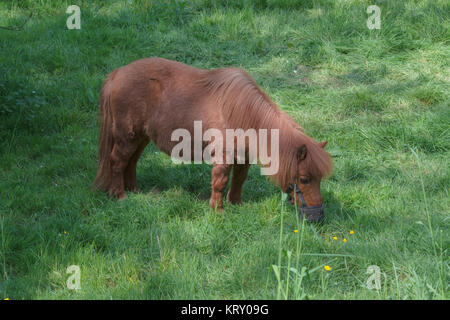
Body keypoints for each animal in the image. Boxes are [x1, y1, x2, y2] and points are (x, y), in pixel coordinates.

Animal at [93, 57, 332, 221]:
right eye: (304, 179)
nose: (318, 215)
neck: (242, 113)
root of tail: (117, 74)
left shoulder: (243, 156)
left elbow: (239, 179)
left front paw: (235, 204)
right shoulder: (223, 156)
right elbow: (220, 182)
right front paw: (218, 211)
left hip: (140, 138)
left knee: (131, 162)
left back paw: (134, 190)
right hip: (127, 137)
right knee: (117, 162)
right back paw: (120, 195)